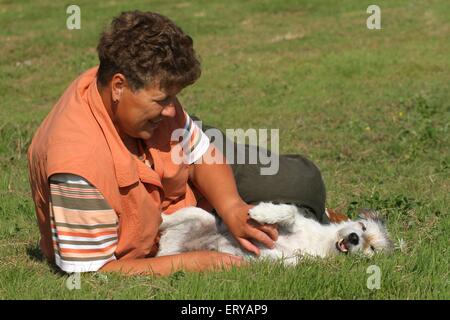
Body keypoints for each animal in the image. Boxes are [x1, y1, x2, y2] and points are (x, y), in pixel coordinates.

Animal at [156, 204, 392, 264]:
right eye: (362, 226)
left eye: (372, 249)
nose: (354, 238)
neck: (322, 242)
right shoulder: (295, 222)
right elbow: (289, 211)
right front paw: (261, 212)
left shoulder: (301, 259)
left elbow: (289, 260)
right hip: (198, 213)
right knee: (163, 220)